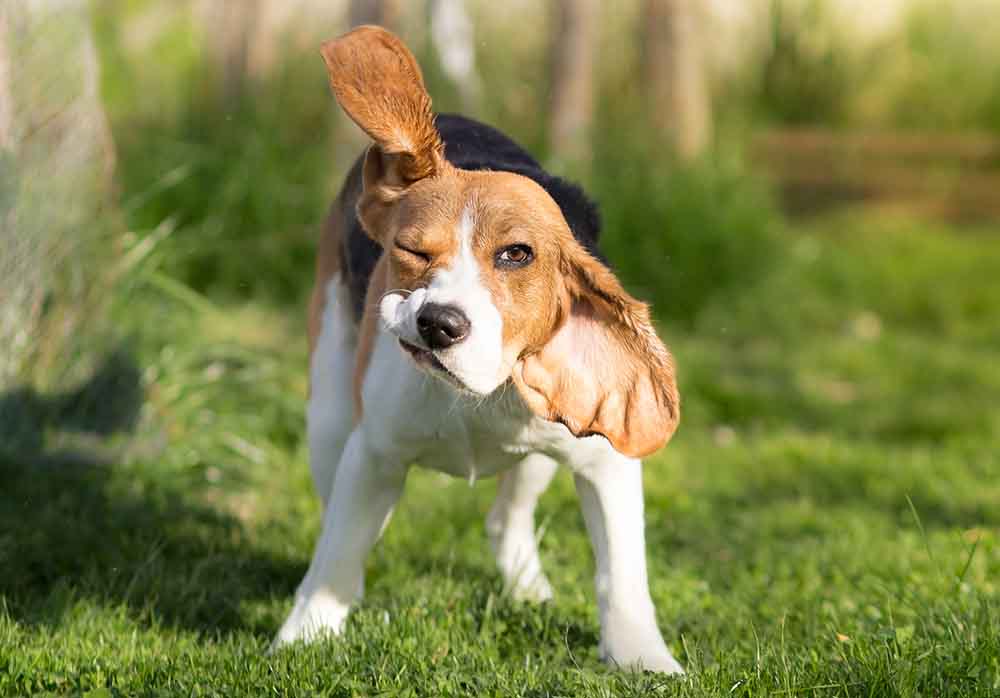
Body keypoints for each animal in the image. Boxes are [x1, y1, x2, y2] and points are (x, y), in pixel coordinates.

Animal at [270, 24, 684, 672]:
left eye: (516, 254)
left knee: (504, 519)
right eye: (411, 250)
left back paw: (527, 588)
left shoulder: (605, 462)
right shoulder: (373, 452)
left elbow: (622, 574)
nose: (439, 324)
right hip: (328, 416)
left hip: (543, 448)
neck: (478, 391)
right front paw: (305, 635)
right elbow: (337, 552)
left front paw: (643, 659)